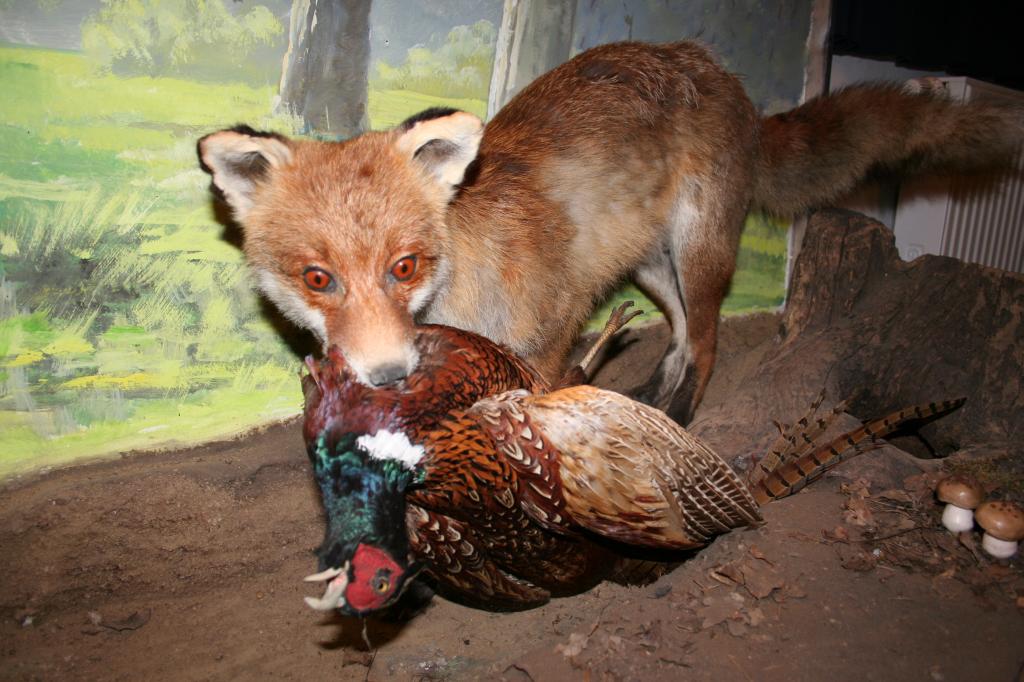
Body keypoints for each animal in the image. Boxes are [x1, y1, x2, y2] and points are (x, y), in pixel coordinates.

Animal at [198, 41, 1022, 424]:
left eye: (405, 267)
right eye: (318, 279)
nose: (389, 374)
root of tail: (719, 75)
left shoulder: (547, 339)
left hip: (700, 252)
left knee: (709, 343)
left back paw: (680, 415)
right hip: (651, 264)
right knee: (684, 334)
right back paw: (652, 395)